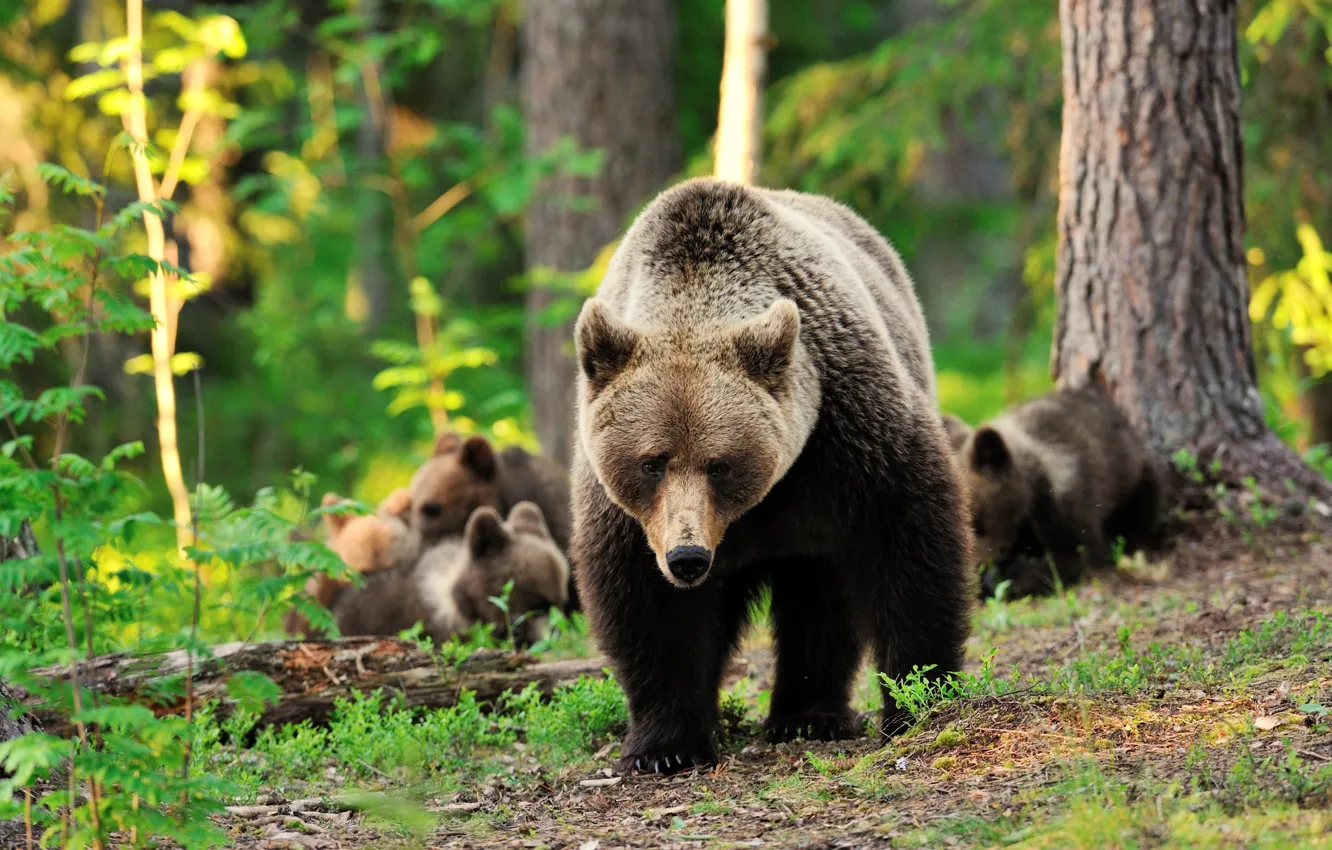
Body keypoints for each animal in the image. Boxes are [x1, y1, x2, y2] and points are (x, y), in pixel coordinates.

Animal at [570, 178, 972, 775]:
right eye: (651, 461)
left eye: (719, 463)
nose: (688, 558)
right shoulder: (625, 510)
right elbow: (647, 604)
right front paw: (666, 745)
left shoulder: (846, 435)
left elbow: (908, 544)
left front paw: (916, 700)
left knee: (819, 595)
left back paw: (808, 715)